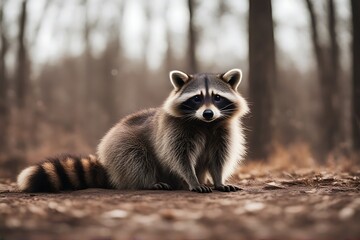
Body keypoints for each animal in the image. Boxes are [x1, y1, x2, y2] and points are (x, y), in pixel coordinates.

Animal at [16, 69, 248, 193]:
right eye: (197, 98)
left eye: (217, 97)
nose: (208, 113)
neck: (205, 124)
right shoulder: (174, 131)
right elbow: (179, 157)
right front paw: (192, 179)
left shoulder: (223, 131)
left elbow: (219, 158)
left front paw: (218, 180)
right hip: (120, 144)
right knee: (136, 160)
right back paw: (150, 182)